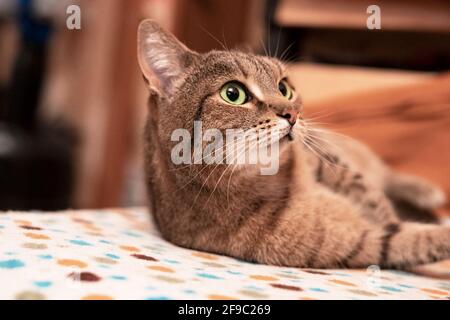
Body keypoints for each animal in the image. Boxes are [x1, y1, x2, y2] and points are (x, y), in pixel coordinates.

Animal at [139, 19, 448, 270]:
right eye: (233, 93)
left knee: (386, 175)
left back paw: (425, 192)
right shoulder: (360, 241)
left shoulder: (324, 158)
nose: (292, 114)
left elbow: (369, 195)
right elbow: (411, 238)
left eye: (284, 87)